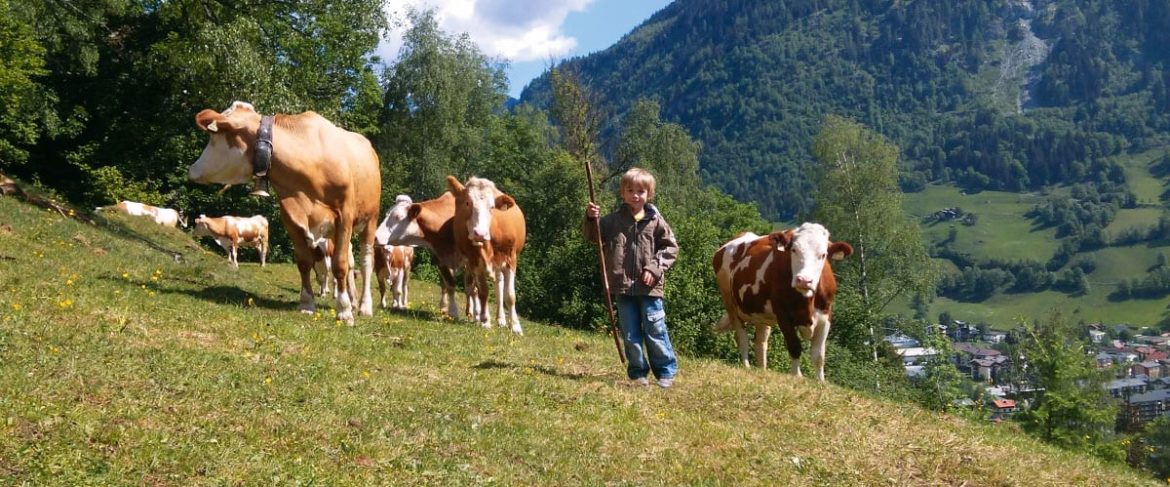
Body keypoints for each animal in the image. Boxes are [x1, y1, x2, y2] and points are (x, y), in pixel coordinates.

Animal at [187, 101, 379, 323]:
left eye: (212, 138)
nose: (191, 169)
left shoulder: (345, 216)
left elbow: (340, 265)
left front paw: (344, 311)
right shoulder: (291, 216)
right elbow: (304, 262)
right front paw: (307, 304)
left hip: (370, 219)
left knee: (365, 262)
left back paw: (364, 306)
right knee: (350, 262)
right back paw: (353, 299)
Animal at [442, 175, 526, 334]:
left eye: (491, 207)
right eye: (467, 202)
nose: (480, 233)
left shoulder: (510, 259)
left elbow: (510, 295)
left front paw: (516, 326)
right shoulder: (475, 262)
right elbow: (483, 292)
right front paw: (485, 320)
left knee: (499, 286)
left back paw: (501, 319)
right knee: (475, 289)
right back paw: (480, 316)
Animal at [706, 222, 856, 381]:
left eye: (823, 255)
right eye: (794, 250)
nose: (804, 280)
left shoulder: (826, 316)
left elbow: (819, 355)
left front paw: (820, 382)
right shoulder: (783, 315)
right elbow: (794, 346)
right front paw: (797, 376)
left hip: (761, 314)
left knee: (760, 342)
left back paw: (762, 369)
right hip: (730, 302)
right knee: (742, 337)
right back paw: (746, 366)